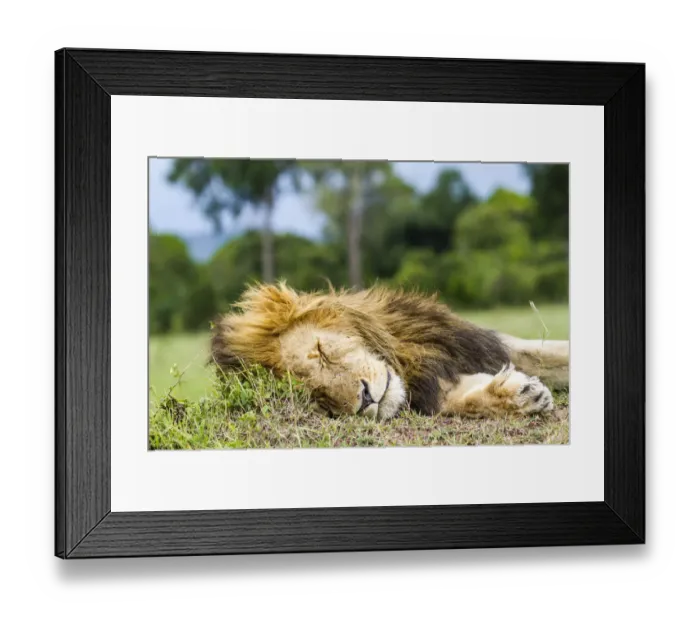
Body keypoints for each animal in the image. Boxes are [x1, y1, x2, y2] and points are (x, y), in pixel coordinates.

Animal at [211, 283, 569, 421]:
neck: (408, 363)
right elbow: (461, 402)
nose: (366, 399)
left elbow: (554, 355)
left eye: (321, 351)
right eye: (318, 398)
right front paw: (519, 396)